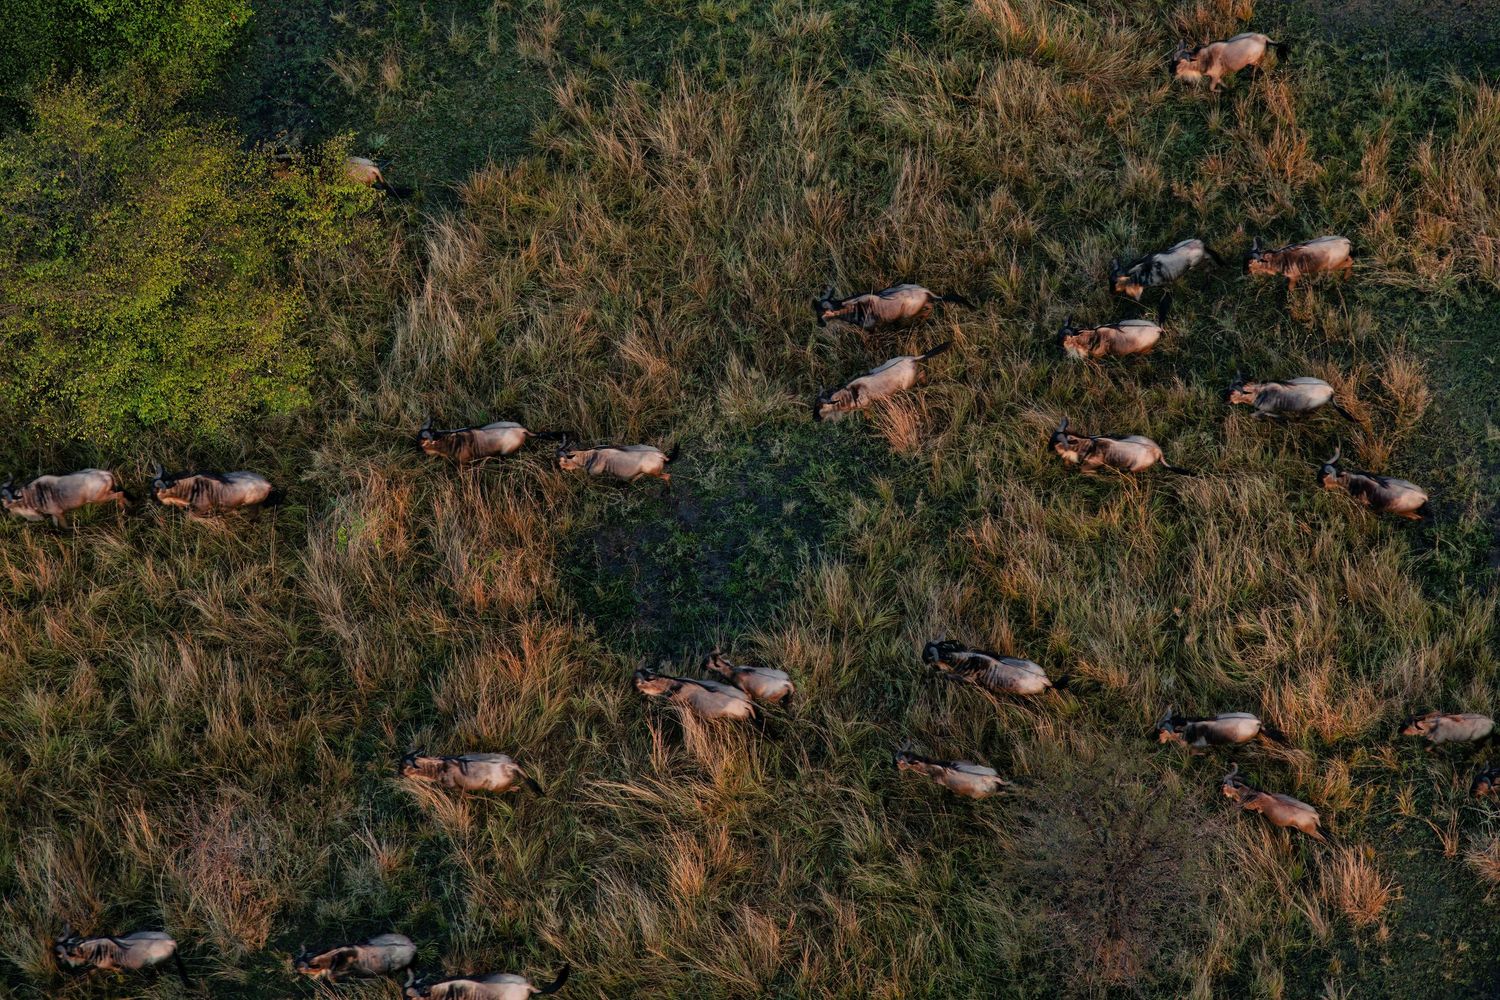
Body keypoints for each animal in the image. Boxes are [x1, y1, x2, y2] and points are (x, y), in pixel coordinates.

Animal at [53, 928, 188, 986]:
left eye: (68, 954)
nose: (64, 969)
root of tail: (171, 942)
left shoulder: (108, 965)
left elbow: (118, 972)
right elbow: (91, 972)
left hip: (158, 963)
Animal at [399, 753, 544, 795]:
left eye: (402, 768)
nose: (398, 774)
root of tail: (508, 765)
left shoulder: (458, 789)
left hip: (494, 787)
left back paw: (515, 788)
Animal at [813, 284, 974, 331]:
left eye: (823, 313)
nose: (819, 324)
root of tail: (926, 292)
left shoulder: (872, 328)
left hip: (909, 313)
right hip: (924, 303)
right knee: (929, 307)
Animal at [813, 343, 951, 422]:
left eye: (821, 407)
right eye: (814, 406)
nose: (814, 419)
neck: (850, 394)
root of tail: (911, 359)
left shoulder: (867, 404)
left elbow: (868, 414)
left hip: (909, 384)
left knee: (922, 373)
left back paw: (925, 384)